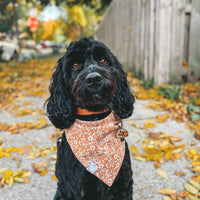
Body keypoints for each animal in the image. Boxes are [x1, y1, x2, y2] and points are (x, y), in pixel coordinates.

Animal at [46, 38, 135, 199]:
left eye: (103, 60)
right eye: (75, 65)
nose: (93, 79)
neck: (94, 119)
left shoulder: (123, 185)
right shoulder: (73, 188)